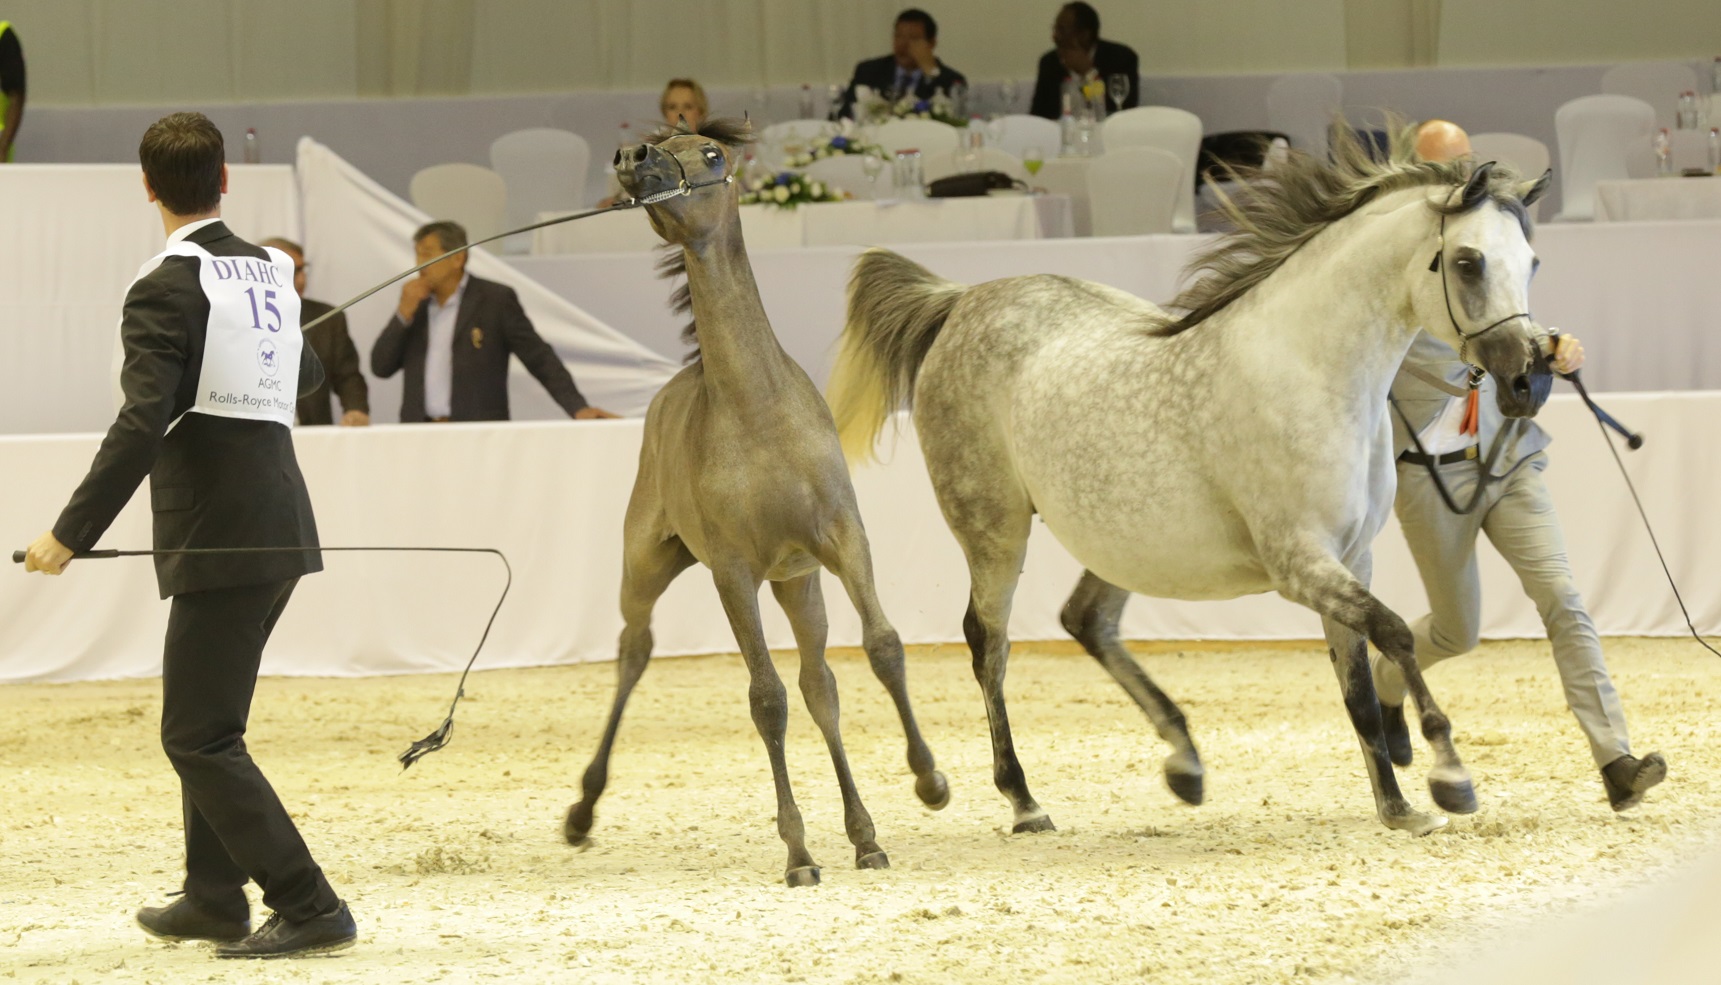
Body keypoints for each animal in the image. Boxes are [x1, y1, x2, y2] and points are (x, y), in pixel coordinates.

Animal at [563, 119, 949, 886]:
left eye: (712, 153)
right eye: (659, 140)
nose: (633, 160)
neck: (757, 412)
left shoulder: (841, 541)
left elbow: (882, 649)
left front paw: (927, 782)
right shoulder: (732, 572)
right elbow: (765, 698)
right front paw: (798, 853)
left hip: (797, 583)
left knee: (819, 684)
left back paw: (863, 834)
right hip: (647, 566)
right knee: (633, 651)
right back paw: (584, 809)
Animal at [827, 129, 1553, 837]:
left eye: (1531, 262)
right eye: (1468, 261)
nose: (1529, 382)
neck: (1310, 371)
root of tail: (958, 302)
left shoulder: (1351, 557)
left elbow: (1357, 689)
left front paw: (1396, 806)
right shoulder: (1300, 563)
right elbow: (1396, 634)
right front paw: (1449, 775)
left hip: (1123, 540)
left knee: (1085, 620)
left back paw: (1183, 760)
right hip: (994, 532)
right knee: (989, 643)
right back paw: (1024, 801)